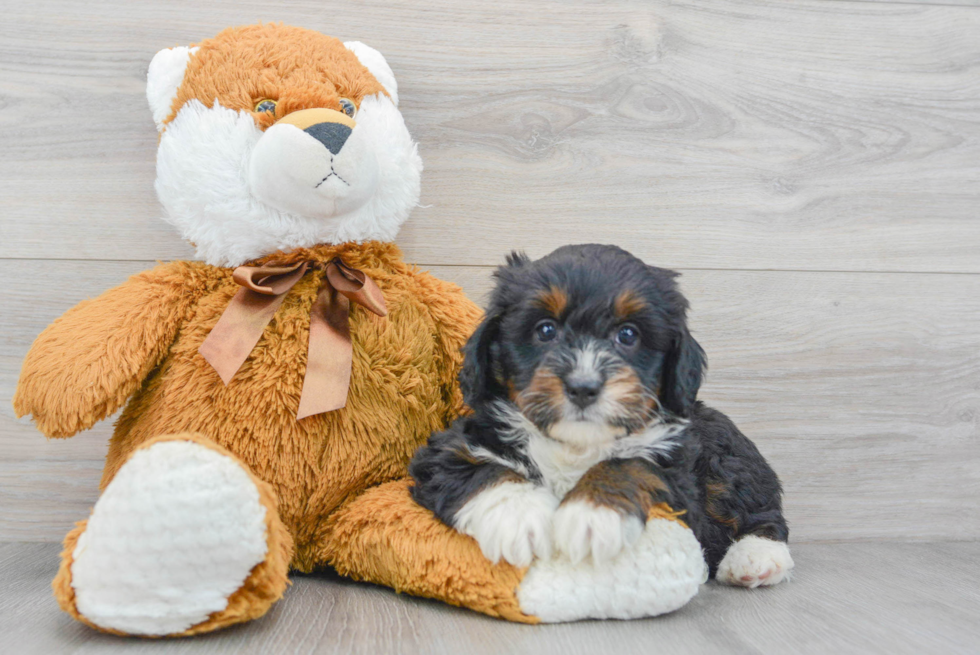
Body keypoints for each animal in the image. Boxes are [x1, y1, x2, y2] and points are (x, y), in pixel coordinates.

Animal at [410, 246, 792, 588]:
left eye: (628, 335)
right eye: (545, 330)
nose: (583, 386)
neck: (576, 444)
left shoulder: (680, 481)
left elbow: (633, 464)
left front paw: (592, 515)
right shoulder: (450, 447)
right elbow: (480, 468)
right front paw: (520, 518)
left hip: (727, 455)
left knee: (761, 512)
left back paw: (756, 558)